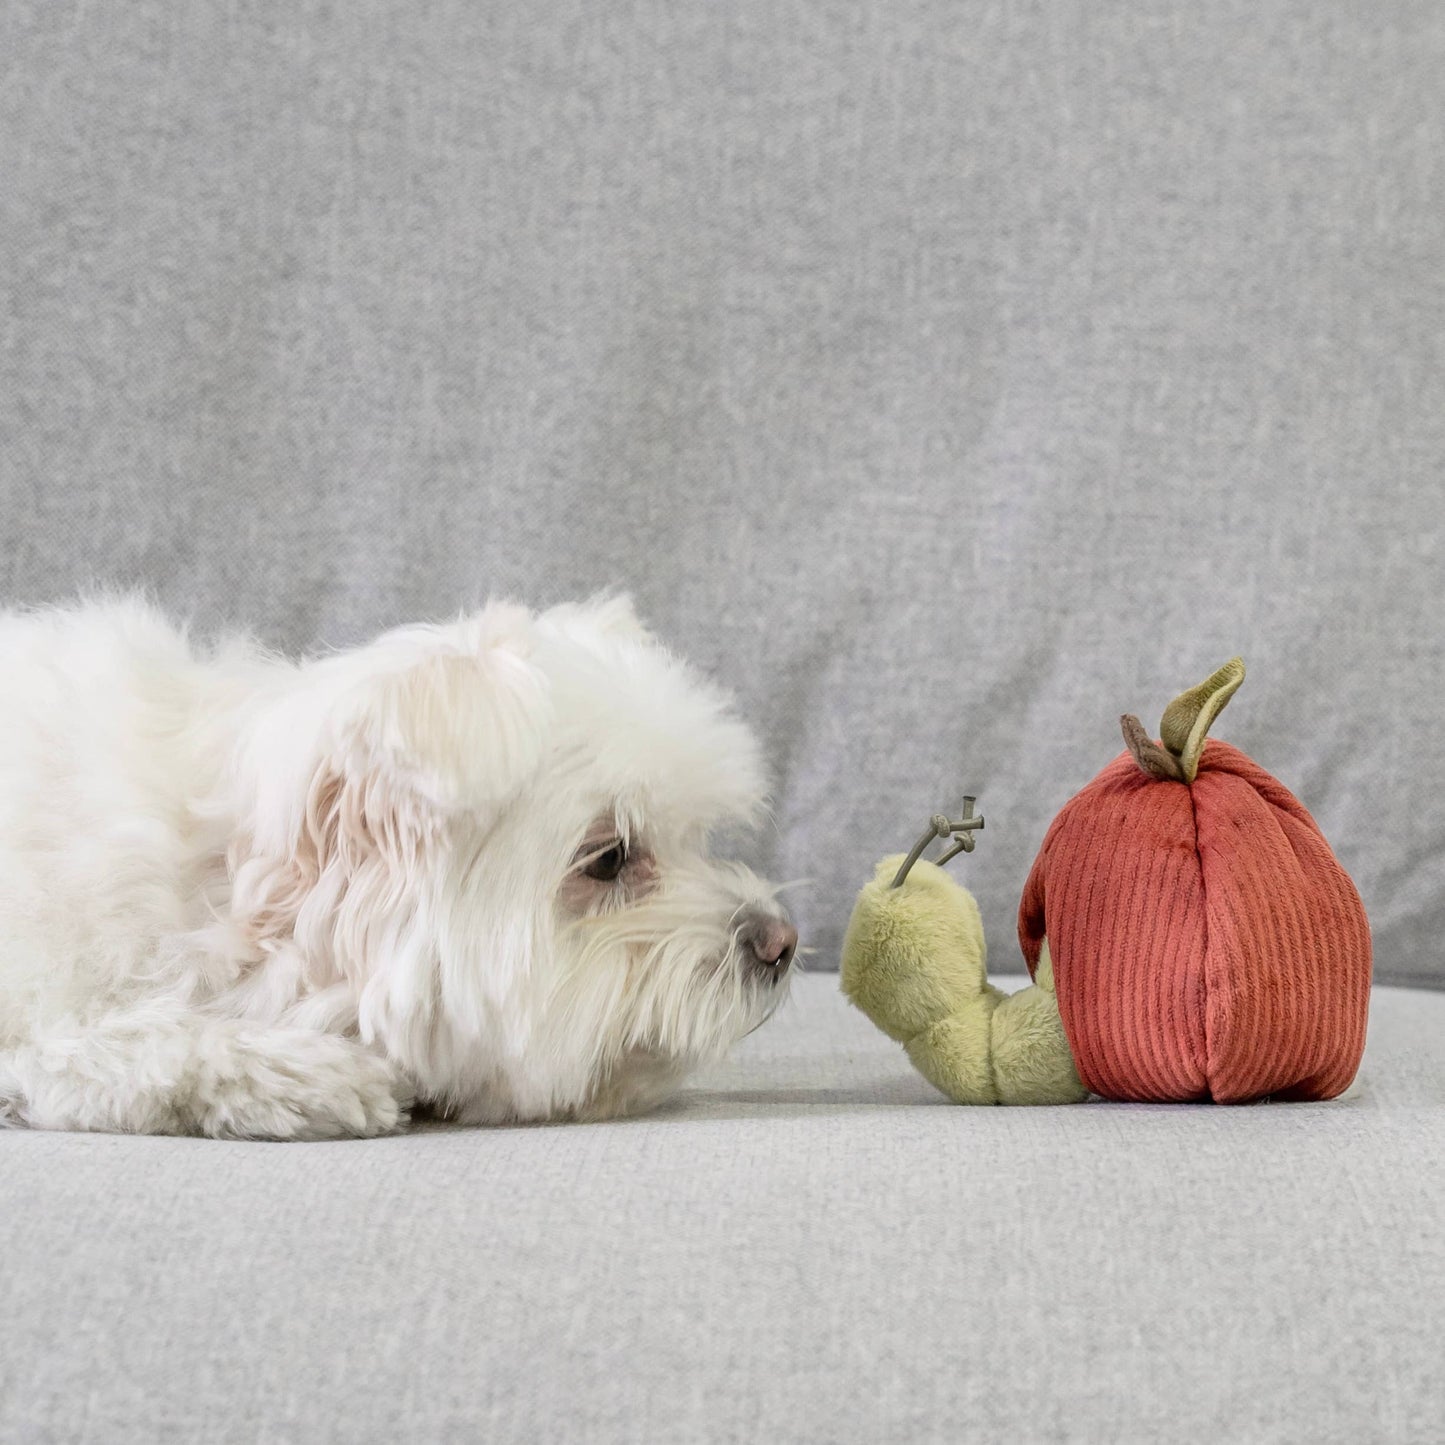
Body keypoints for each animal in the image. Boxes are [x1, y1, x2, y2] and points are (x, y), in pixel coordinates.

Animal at [0, 592, 797, 1132]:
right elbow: (111, 1041)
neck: (221, 894)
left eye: (699, 836)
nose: (780, 942)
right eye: (609, 859)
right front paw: (302, 1074)